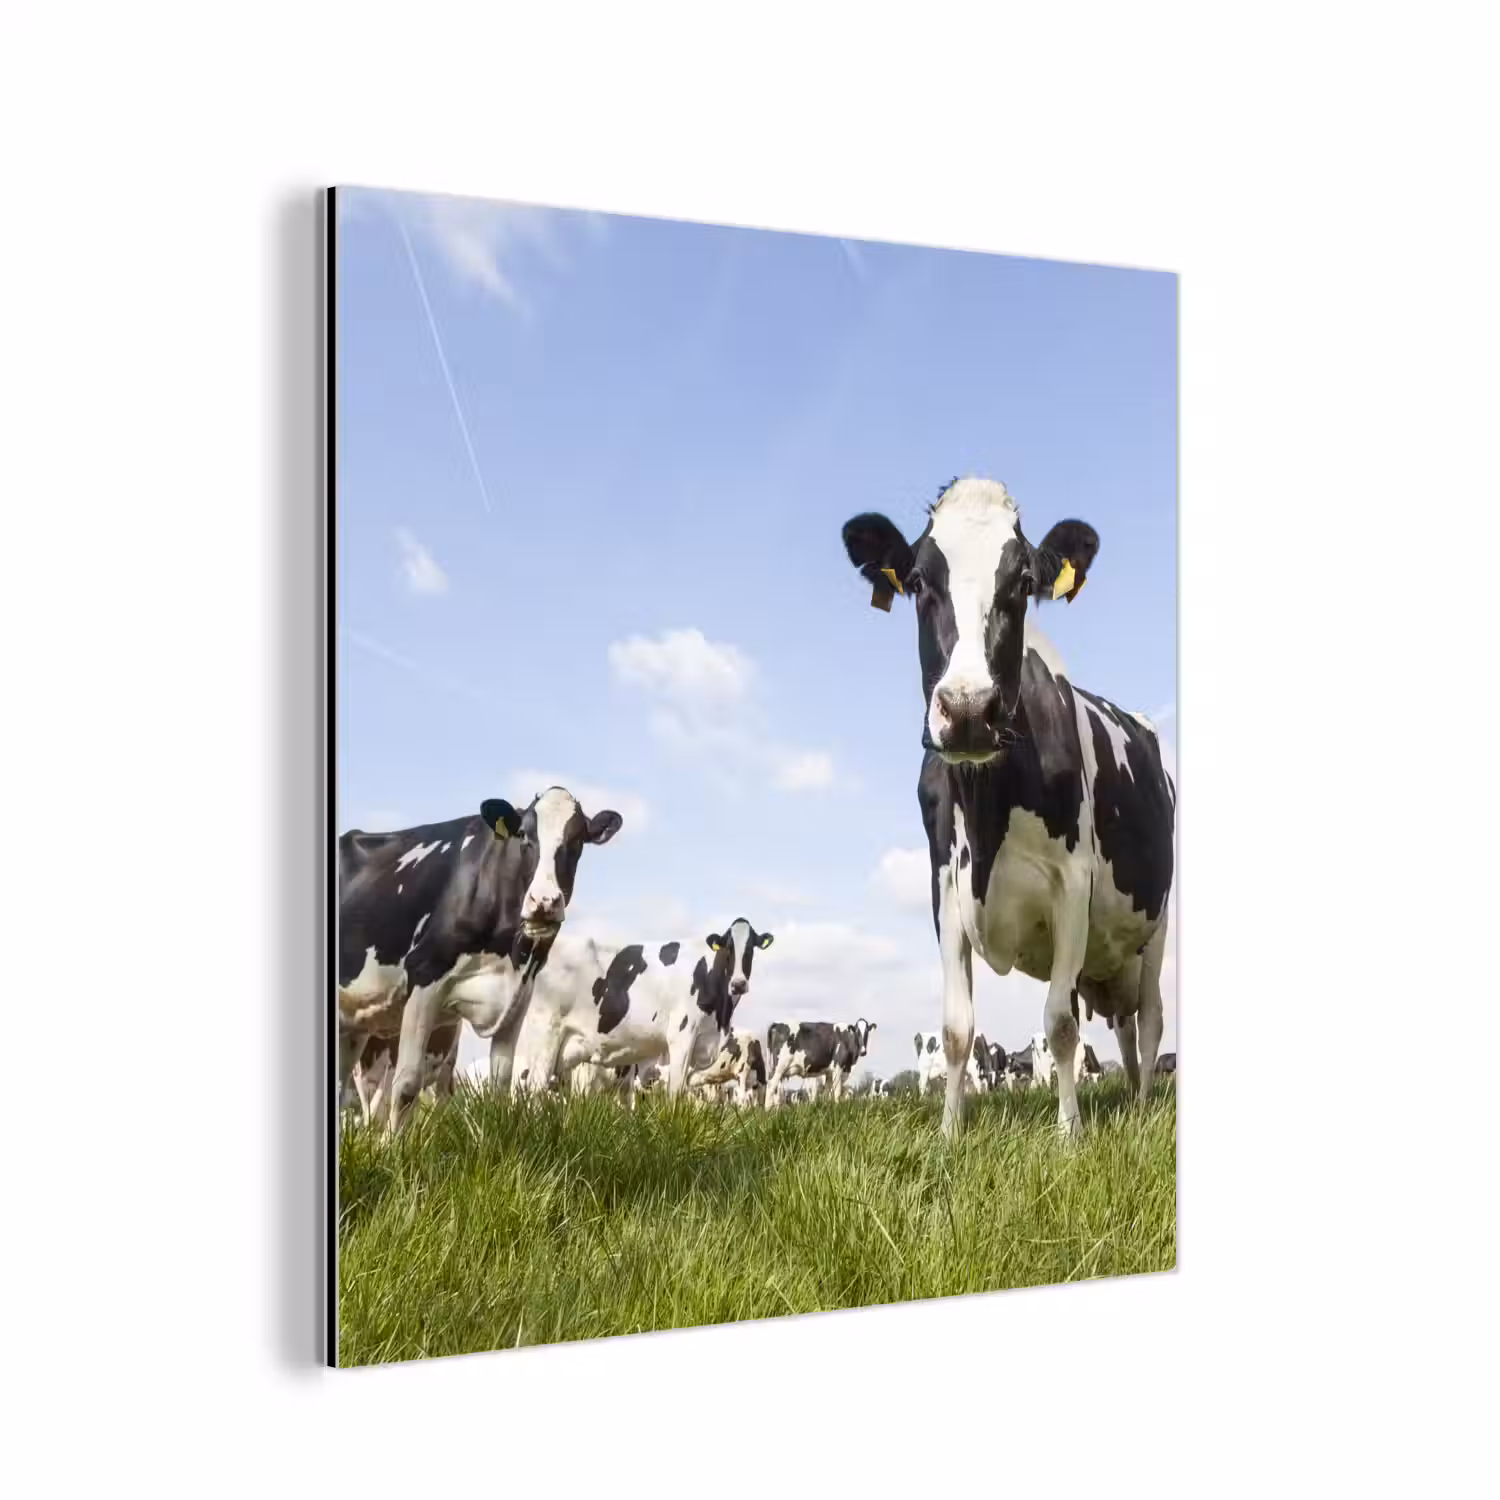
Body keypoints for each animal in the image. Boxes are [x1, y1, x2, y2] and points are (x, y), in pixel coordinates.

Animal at [337, 786, 623, 1133]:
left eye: (578, 839)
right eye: (524, 835)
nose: (544, 902)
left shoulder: (520, 993)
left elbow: (501, 1082)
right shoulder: (425, 975)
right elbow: (406, 1084)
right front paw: (393, 1147)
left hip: (354, 1022)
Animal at [517, 919, 775, 1098]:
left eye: (751, 949)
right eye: (728, 948)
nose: (739, 983)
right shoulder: (681, 1036)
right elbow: (676, 1093)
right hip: (544, 1034)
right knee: (533, 1089)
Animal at [843, 477, 1175, 1137]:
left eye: (1022, 582)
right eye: (917, 579)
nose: (969, 709)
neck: (987, 809)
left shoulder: (1073, 882)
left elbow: (1060, 1025)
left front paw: (1070, 1133)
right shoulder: (945, 884)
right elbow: (955, 1028)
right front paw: (950, 1132)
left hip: (1158, 926)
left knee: (1149, 1020)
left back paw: (1144, 1109)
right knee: (1125, 1029)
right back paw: (1130, 1099)